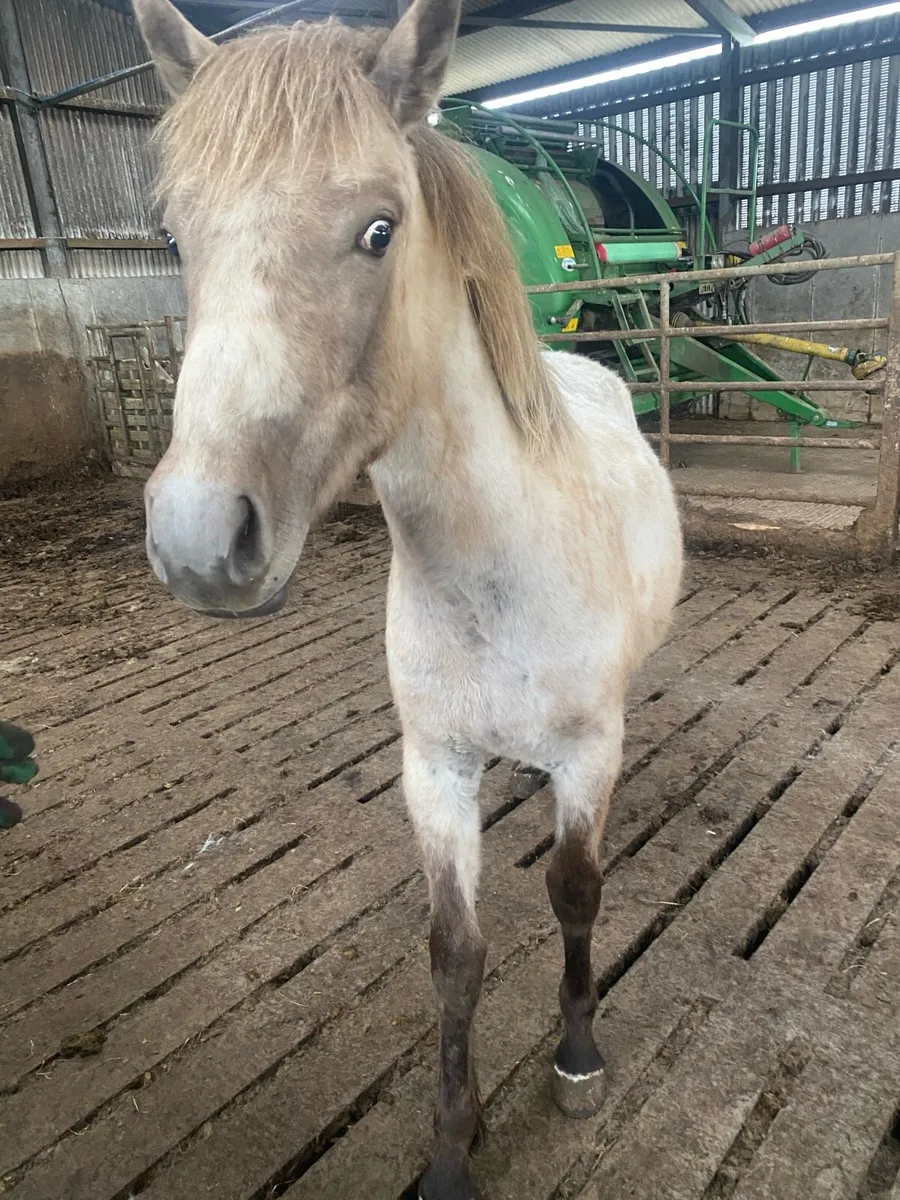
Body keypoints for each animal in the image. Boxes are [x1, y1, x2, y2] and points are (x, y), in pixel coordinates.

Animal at [134, 1, 683, 1194]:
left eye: (380, 231)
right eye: (174, 240)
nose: (198, 541)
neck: (496, 572)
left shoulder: (590, 756)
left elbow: (576, 891)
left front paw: (576, 1058)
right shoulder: (434, 766)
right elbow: (455, 954)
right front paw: (449, 1149)